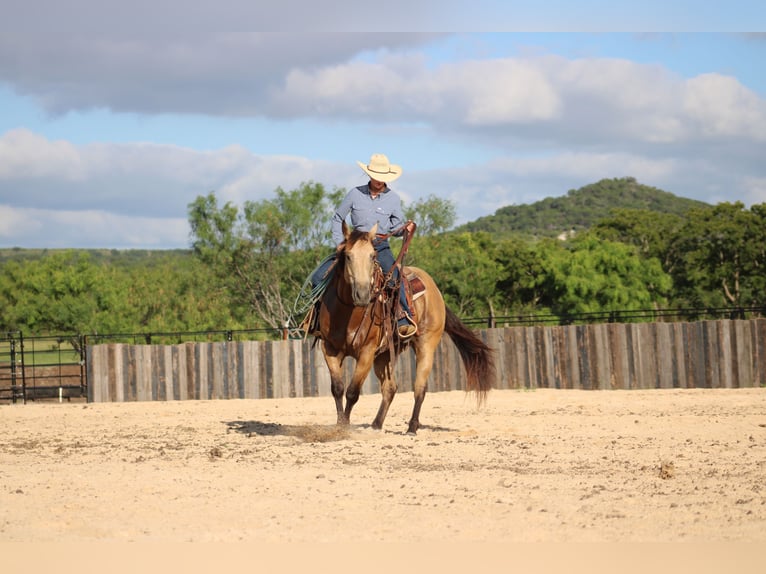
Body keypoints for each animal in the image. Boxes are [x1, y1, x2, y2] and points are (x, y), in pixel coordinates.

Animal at [315, 221, 494, 435]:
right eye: (348, 256)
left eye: (372, 256)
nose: (362, 294)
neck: (348, 314)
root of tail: (435, 290)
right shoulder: (330, 349)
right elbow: (337, 389)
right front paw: (340, 425)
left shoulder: (366, 353)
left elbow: (352, 392)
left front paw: (345, 429)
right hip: (385, 354)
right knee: (390, 388)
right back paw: (376, 425)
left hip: (425, 345)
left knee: (419, 388)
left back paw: (412, 427)